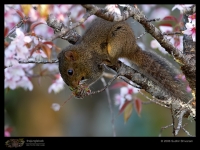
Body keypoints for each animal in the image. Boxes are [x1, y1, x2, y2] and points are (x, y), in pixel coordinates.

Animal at [57, 17, 191, 102]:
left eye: (70, 72)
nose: (72, 86)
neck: (82, 56)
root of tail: (132, 47)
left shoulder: (92, 64)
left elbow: (97, 74)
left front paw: (83, 87)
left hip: (117, 41)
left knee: (114, 59)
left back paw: (109, 61)